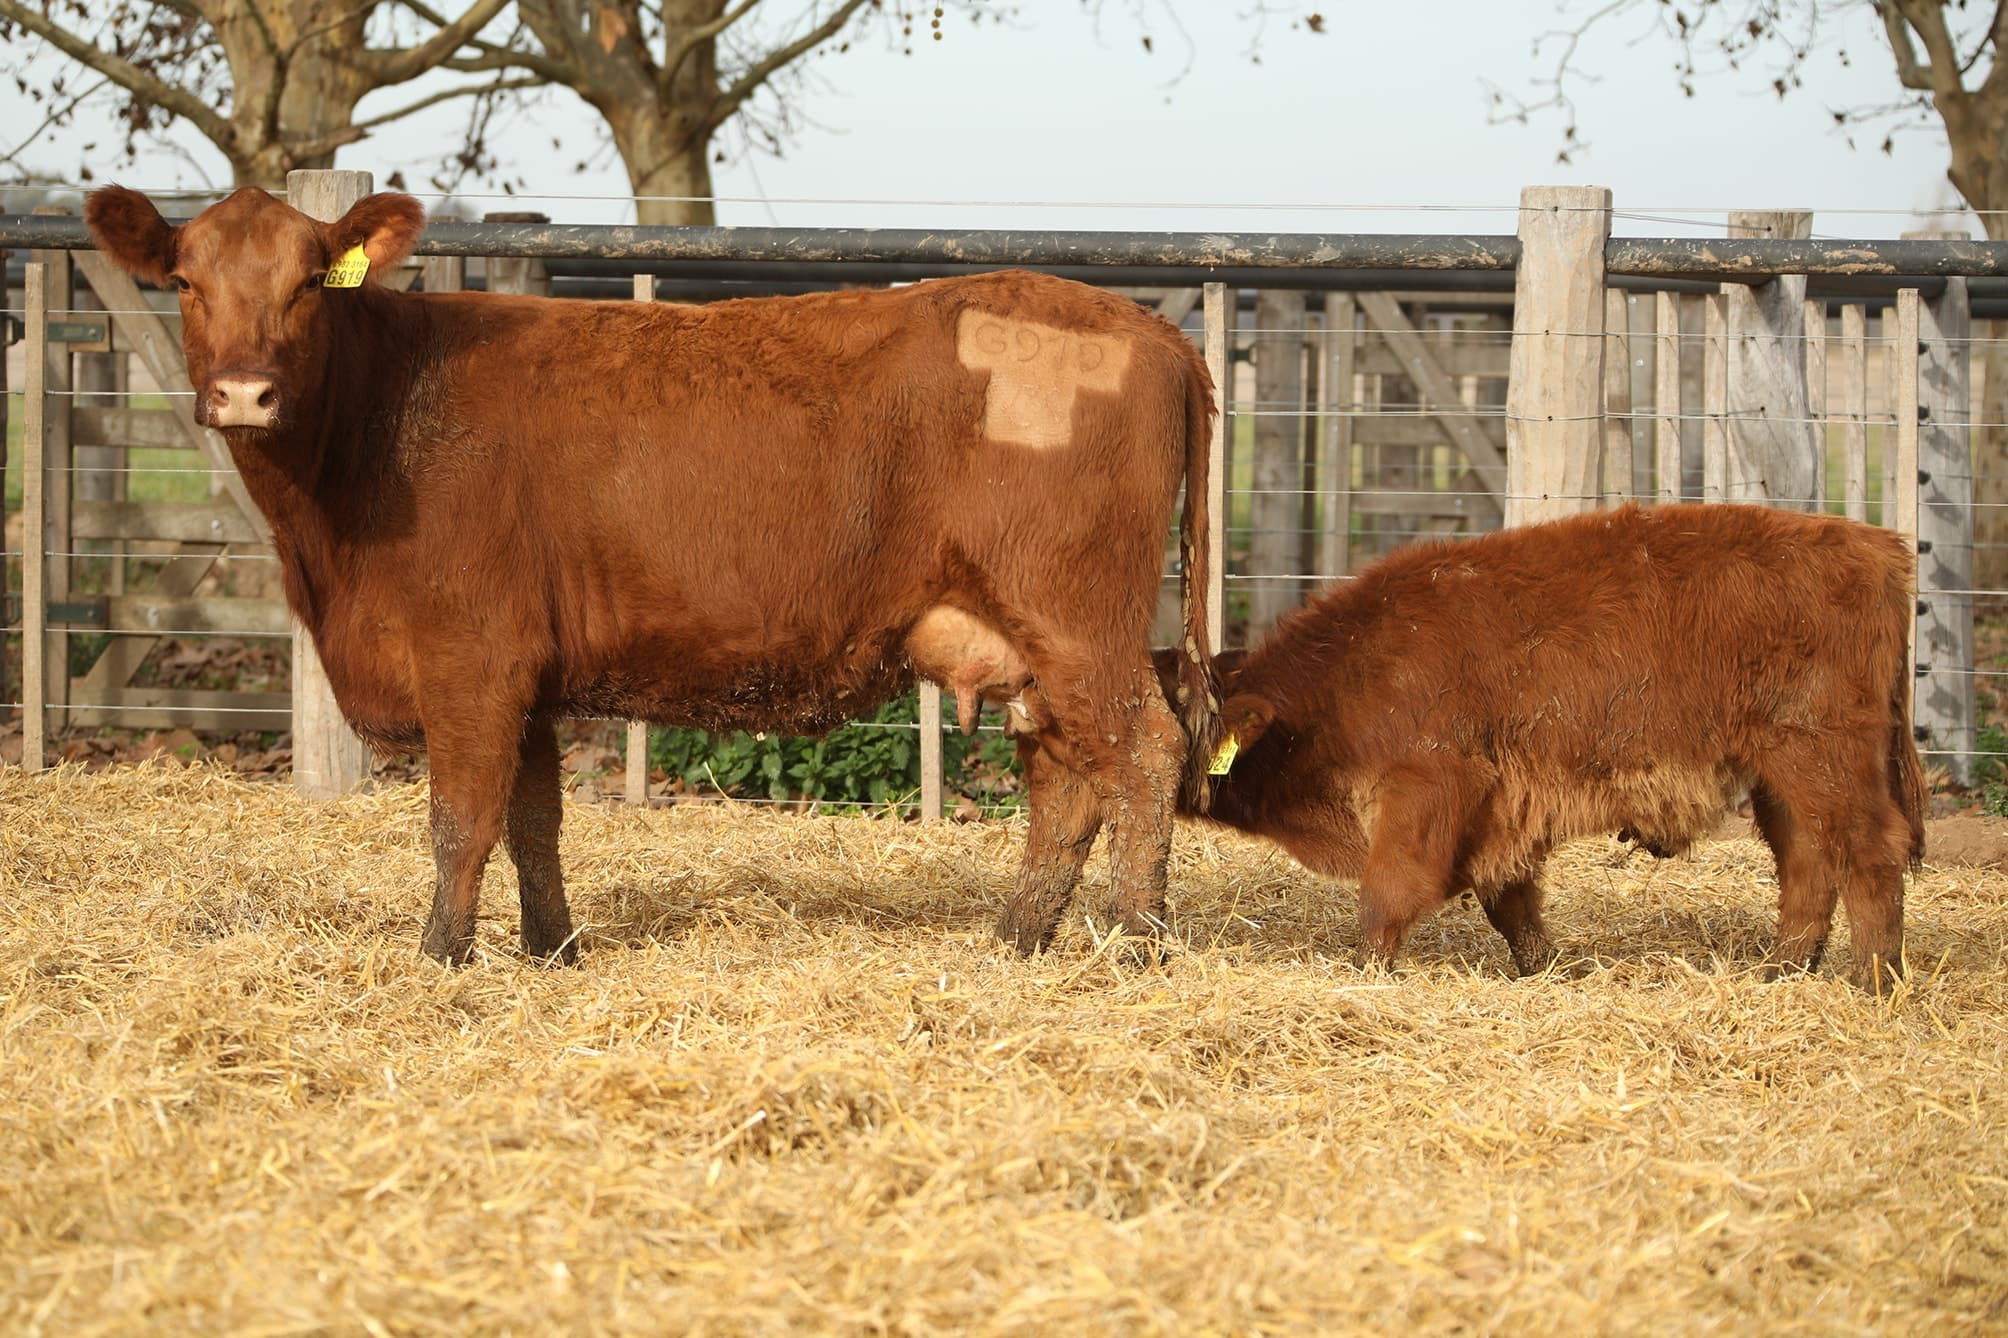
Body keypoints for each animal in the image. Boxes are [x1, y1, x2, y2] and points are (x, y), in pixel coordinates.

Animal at [85, 185, 1221, 965]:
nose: (244, 393)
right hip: (1030, 636)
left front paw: (439, 956)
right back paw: (1017, 939)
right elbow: (533, 822)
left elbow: (461, 821)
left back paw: (1136, 942)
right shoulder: (527, 676)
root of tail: (1150, 327)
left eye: (308, 284)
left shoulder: (471, 661)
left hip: (1076, 616)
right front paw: (551, 949)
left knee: (1145, 750)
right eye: (184, 282)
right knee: (1068, 779)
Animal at [1156, 502, 1925, 990]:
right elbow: (1512, 906)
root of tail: (1876, 547)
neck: (1345, 673)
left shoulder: (1425, 788)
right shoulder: (1499, 815)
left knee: (1869, 851)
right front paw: (1550, 970)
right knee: (1808, 863)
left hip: (1821, 756)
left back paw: (1873, 984)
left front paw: (1365, 975)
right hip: (1780, 777)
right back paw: (1777, 975)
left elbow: (1387, 895)